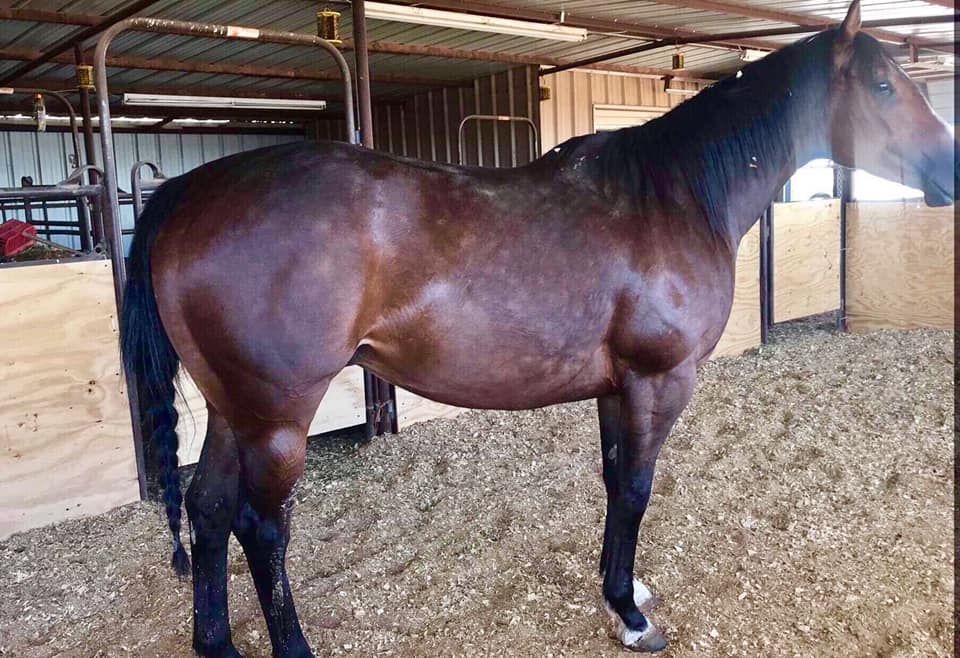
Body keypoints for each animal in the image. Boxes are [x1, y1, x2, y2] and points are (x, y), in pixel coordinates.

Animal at [120, 1, 956, 654]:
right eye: (886, 85)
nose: (950, 171)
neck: (674, 195)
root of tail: (190, 191)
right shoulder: (657, 381)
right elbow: (638, 488)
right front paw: (630, 618)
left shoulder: (616, 387)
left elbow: (616, 481)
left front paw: (623, 594)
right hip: (278, 419)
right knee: (260, 530)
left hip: (234, 409)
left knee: (209, 509)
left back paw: (216, 642)